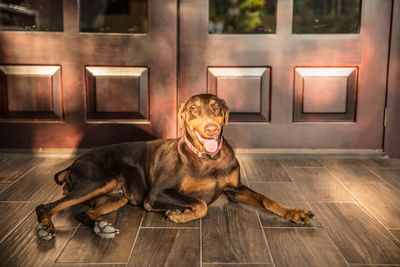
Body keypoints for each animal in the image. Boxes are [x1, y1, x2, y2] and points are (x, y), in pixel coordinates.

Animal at [35, 93, 316, 241]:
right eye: (192, 109)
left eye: (217, 107)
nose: (211, 128)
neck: (207, 159)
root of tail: (74, 163)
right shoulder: (157, 194)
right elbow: (201, 204)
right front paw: (179, 215)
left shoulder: (235, 190)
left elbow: (267, 199)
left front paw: (295, 212)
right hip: (97, 181)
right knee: (45, 206)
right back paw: (46, 228)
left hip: (117, 196)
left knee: (85, 213)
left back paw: (102, 227)